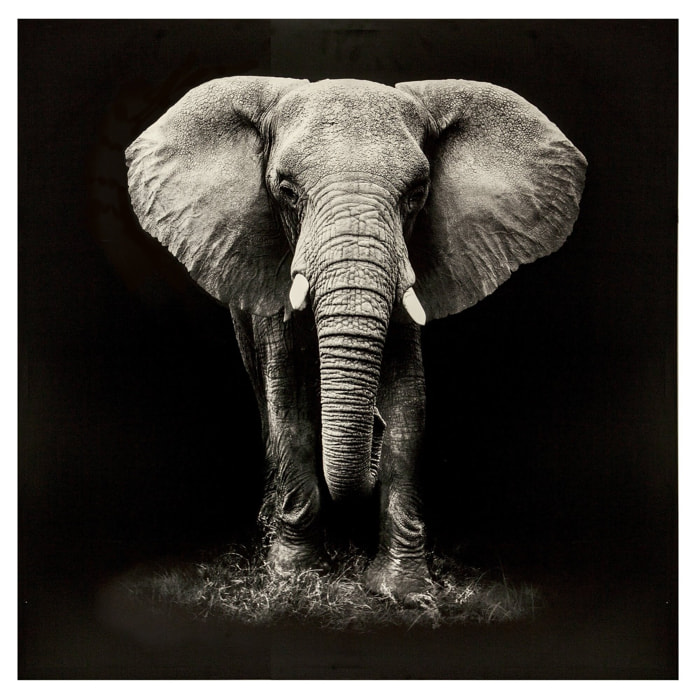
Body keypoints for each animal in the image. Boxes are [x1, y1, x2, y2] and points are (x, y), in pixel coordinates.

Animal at [125, 76, 586, 601]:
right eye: (286, 191)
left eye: (417, 193)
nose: (373, 428)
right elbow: (289, 403)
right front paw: (295, 579)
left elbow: (409, 406)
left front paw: (403, 591)